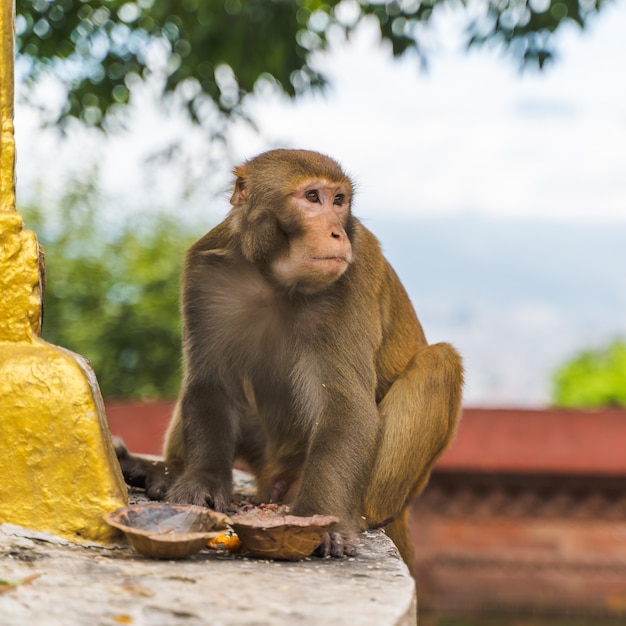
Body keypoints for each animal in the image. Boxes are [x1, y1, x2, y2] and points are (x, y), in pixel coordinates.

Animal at [116, 149, 464, 568]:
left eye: (339, 200)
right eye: (312, 197)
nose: (337, 233)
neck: (274, 277)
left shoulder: (354, 274)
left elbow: (346, 404)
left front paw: (322, 520)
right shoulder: (206, 273)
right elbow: (210, 383)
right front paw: (201, 482)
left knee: (440, 362)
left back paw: (362, 515)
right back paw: (159, 473)